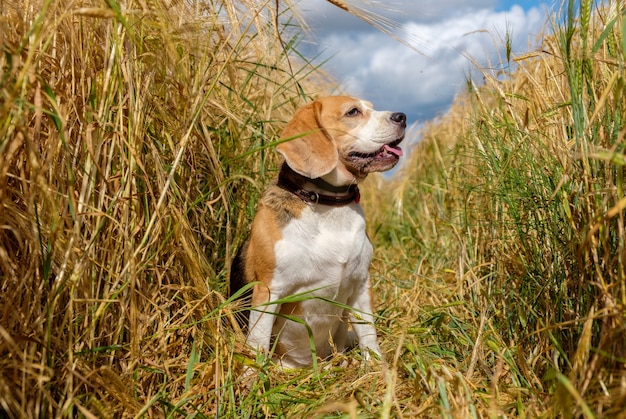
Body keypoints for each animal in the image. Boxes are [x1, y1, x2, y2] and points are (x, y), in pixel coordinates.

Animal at [230, 96, 404, 370]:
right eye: (353, 112)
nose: (402, 117)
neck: (330, 205)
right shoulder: (268, 292)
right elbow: (257, 344)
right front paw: (252, 377)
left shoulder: (361, 285)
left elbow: (369, 336)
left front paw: (378, 369)